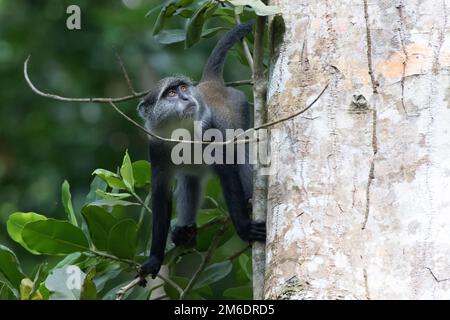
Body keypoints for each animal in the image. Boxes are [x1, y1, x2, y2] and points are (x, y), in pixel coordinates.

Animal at [137, 20, 264, 280]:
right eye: (171, 93)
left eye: (184, 88)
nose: (187, 97)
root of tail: (210, 83)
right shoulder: (156, 145)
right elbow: (161, 194)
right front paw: (154, 259)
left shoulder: (210, 129)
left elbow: (228, 170)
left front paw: (244, 228)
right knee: (190, 179)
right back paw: (185, 233)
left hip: (241, 107)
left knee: (240, 157)